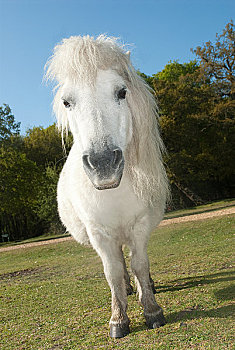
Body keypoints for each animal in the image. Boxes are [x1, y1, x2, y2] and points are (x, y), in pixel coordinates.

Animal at [45, 34, 169, 338]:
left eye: (122, 92)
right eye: (67, 102)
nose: (102, 164)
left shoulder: (139, 226)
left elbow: (140, 264)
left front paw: (152, 310)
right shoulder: (99, 234)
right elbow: (112, 271)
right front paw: (118, 320)